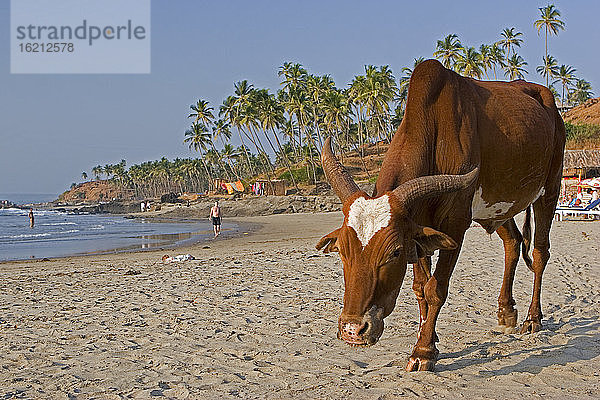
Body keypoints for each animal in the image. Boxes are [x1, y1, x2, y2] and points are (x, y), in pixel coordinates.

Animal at [316, 59, 564, 372]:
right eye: (342, 250)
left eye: (394, 253)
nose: (352, 329)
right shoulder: (418, 231)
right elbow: (420, 288)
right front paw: (429, 339)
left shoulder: (454, 226)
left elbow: (436, 288)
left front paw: (422, 351)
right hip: (498, 206)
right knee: (513, 242)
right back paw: (507, 311)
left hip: (550, 189)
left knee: (540, 252)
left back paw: (533, 319)